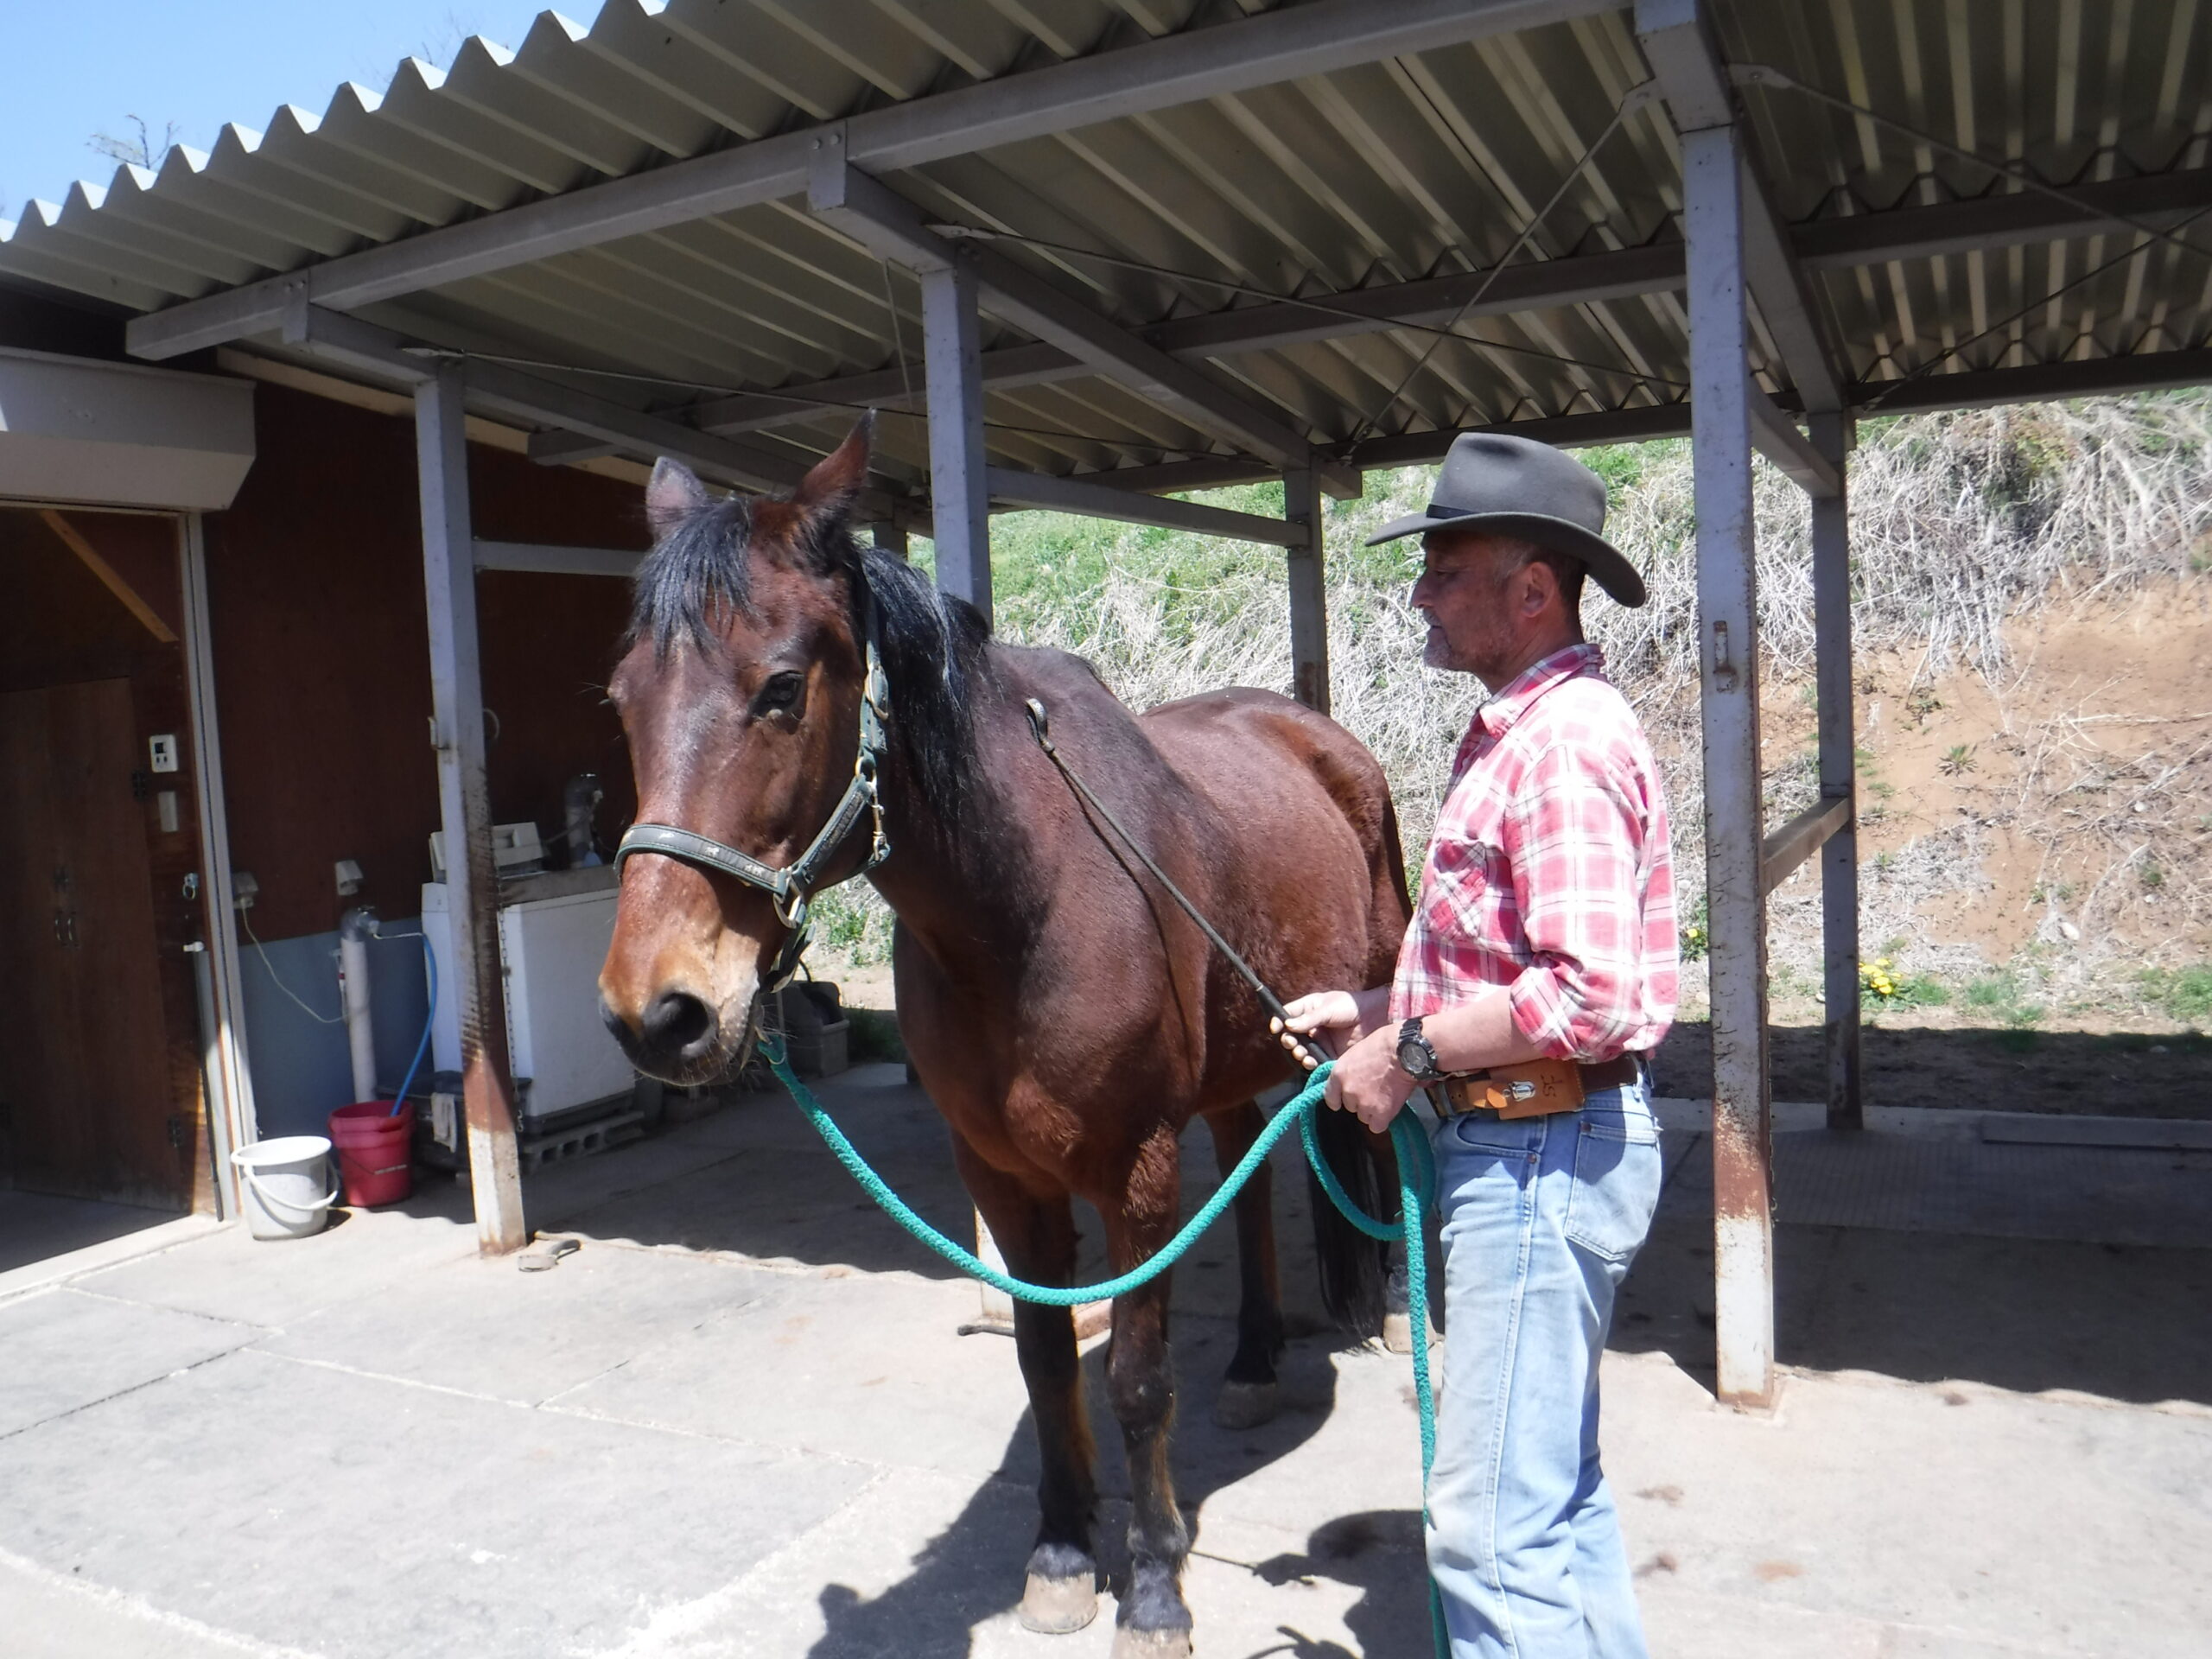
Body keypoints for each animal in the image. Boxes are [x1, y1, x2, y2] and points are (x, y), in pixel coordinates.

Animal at [598, 419, 1410, 1658]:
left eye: (781, 689)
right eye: (622, 698)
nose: (658, 1011)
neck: (1020, 908)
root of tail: (1321, 732)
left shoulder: (1136, 1173)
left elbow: (1134, 1379)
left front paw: (1155, 1589)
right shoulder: (1001, 1174)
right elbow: (1041, 1362)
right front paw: (1066, 1554)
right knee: (1248, 1167)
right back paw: (1257, 1357)